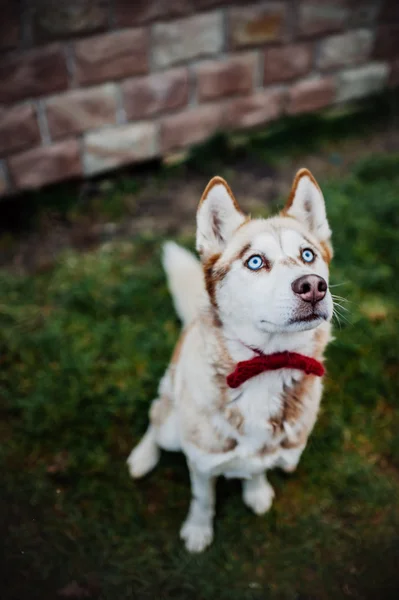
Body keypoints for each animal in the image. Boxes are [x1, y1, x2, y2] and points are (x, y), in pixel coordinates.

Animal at [128, 169, 334, 552]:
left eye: (308, 254)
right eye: (255, 261)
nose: (313, 286)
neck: (268, 366)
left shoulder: (268, 452)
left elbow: (257, 469)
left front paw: (256, 492)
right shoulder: (201, 462)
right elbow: (203, 498)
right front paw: (198, 530)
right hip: (171, 423)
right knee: (155, 416)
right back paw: (142, 457)